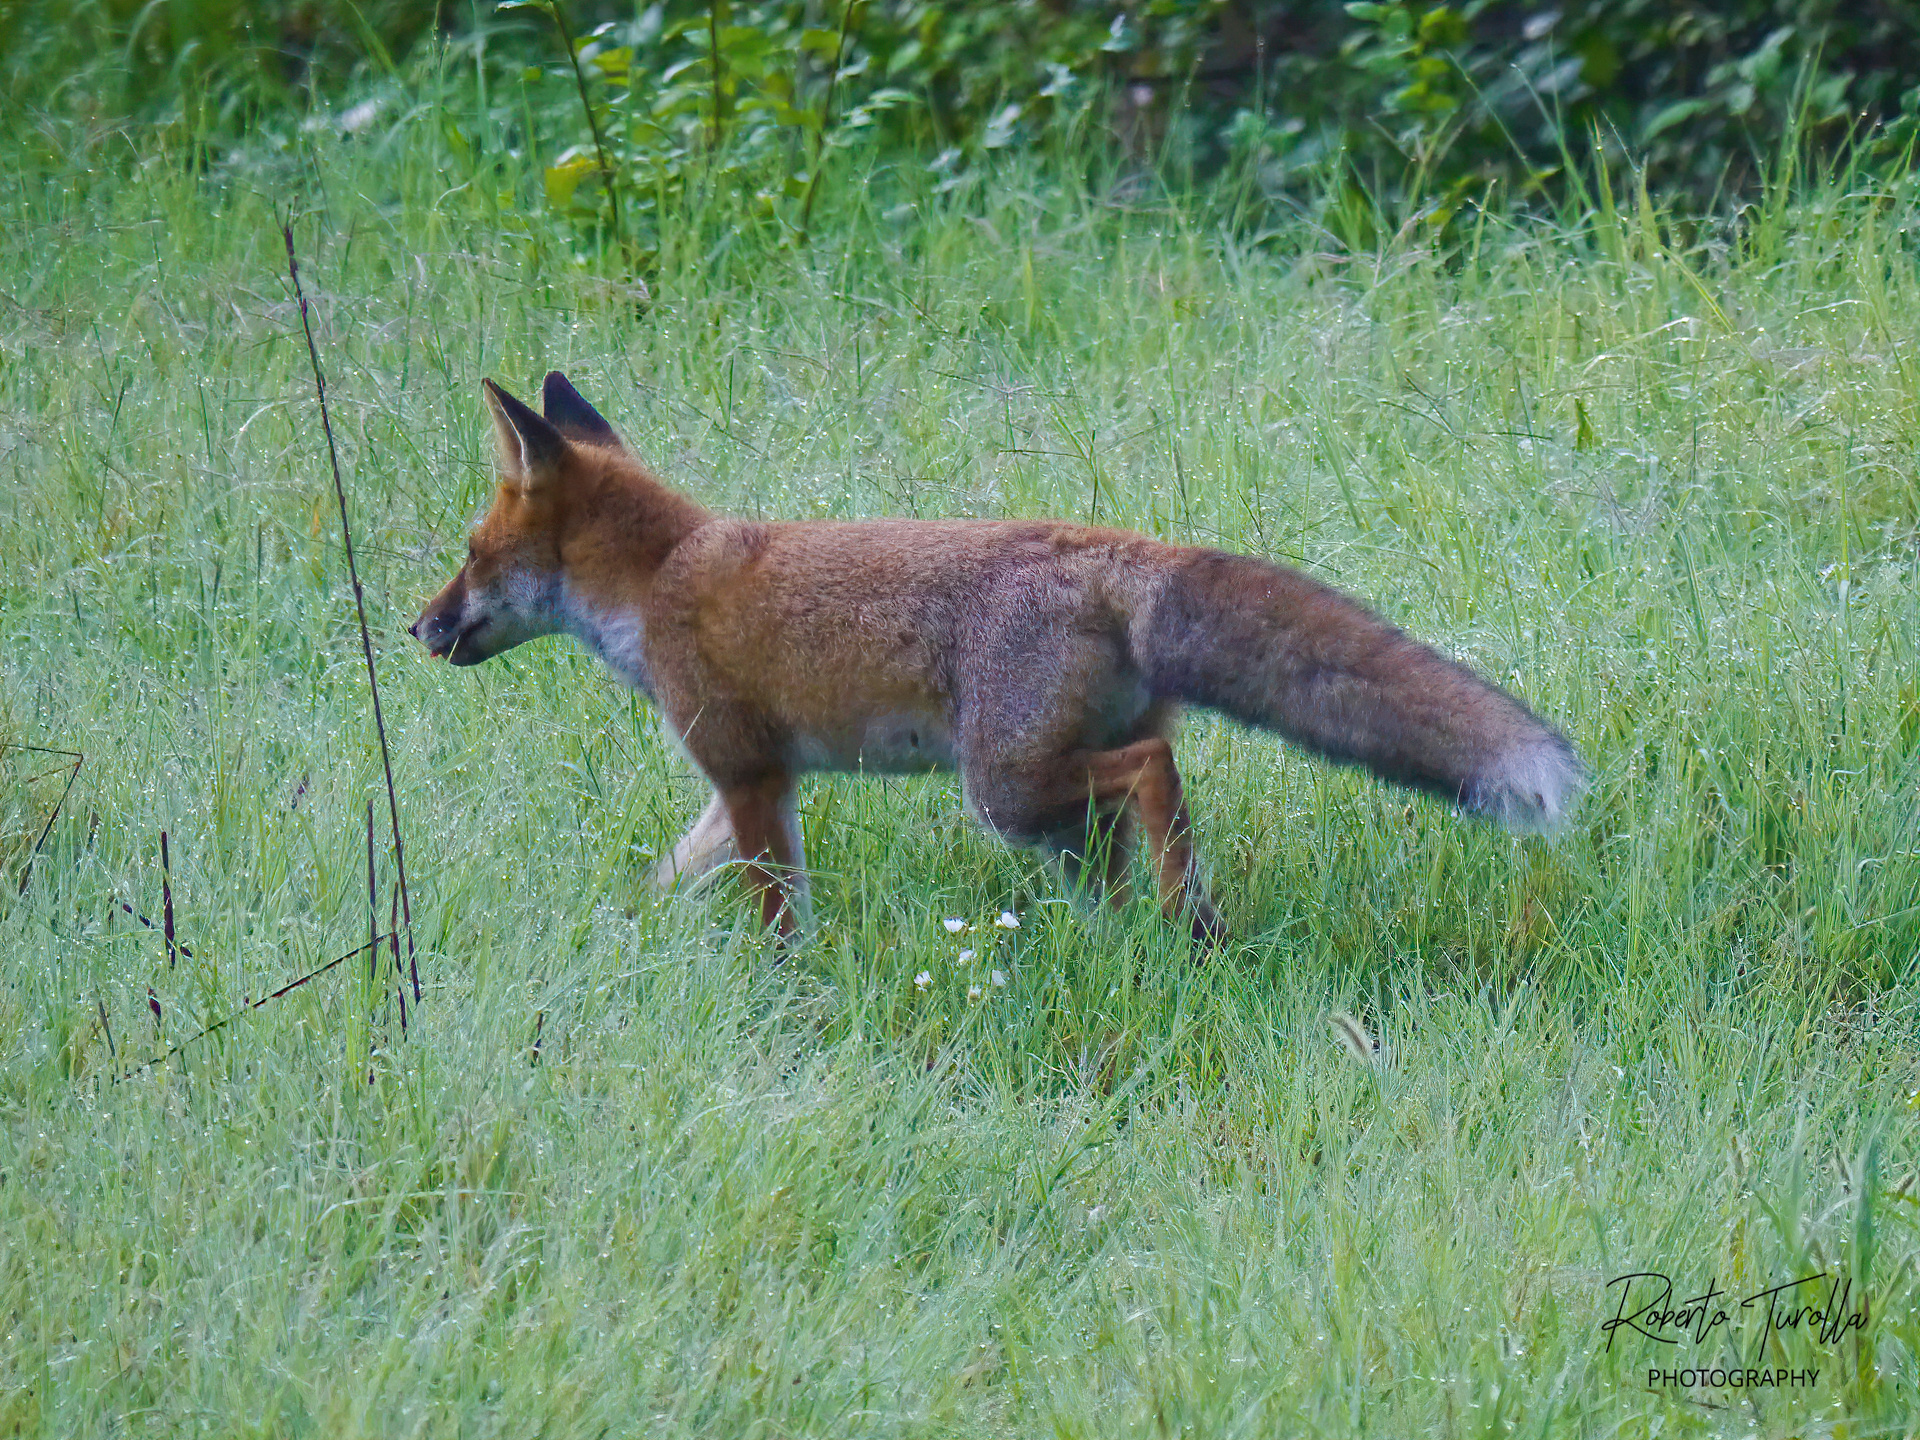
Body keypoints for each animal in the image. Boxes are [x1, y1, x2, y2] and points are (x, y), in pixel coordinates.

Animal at [411, 372, 1583, 943]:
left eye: (468, 554)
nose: (415, 629)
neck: (659, 578)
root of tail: (1116, 545)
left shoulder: (747, 776)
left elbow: (778, 915)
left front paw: (785, 991)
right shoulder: (744, 786)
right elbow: (660, 881)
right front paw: (616, 941)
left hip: (1004, 788)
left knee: (1153, 777)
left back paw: (1185, 922)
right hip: (1049, 814)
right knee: (1128, 836)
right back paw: (1162, 935)